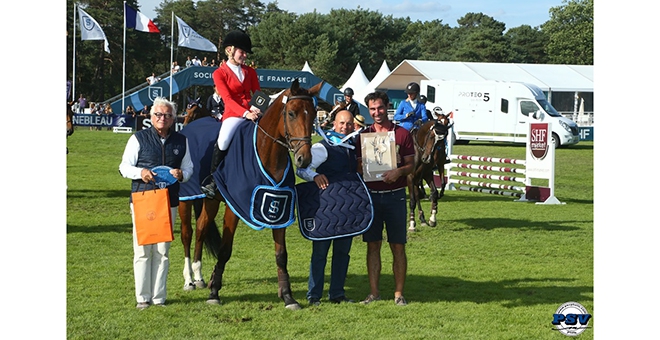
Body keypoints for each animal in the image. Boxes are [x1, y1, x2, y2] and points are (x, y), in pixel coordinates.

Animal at [196, 79, 322, 308]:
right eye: (292, 113)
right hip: (210, 200)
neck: (269, 154)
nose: (304, 159)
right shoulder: (233, 208)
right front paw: (214, 293)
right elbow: (225, 250)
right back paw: (194, 280)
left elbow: (281, 254)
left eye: (314, 113)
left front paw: (288, 296)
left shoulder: (280, 209)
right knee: (200, 229)